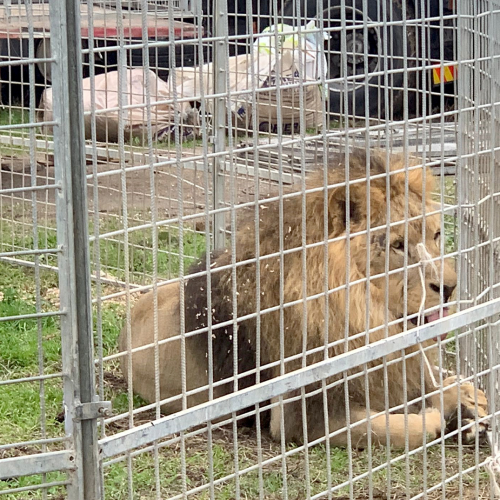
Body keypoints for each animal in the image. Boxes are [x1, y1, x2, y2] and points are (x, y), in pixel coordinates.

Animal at [118, 149, 488, 450]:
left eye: (436, 235)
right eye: (397, 245)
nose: (450, 287)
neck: (362, 314)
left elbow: (434, 383)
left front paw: (468, 402)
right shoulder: (304, 418)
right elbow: (400, 427)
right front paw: (445, 418)